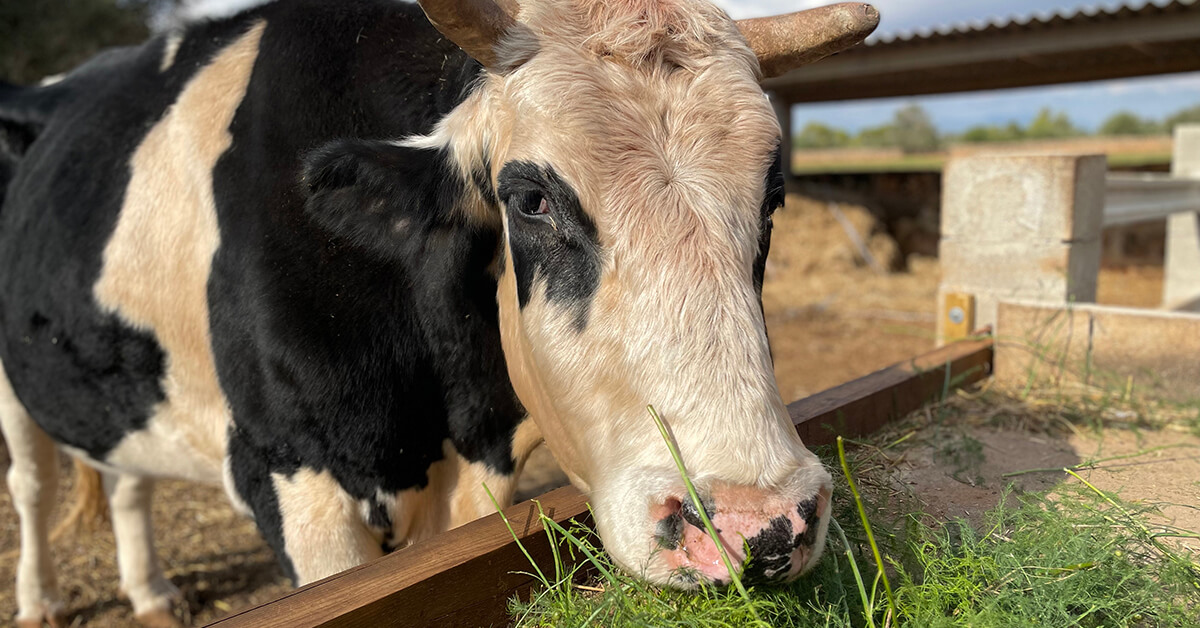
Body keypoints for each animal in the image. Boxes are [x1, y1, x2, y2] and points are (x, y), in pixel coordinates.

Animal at [0, 0, 883, 624]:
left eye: (772, 196)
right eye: (529, 200)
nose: (758, 522)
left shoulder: (476, 470)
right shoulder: (289, 478)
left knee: (124, 480)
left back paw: (151, 595)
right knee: (32, 484)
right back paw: (40, 601)